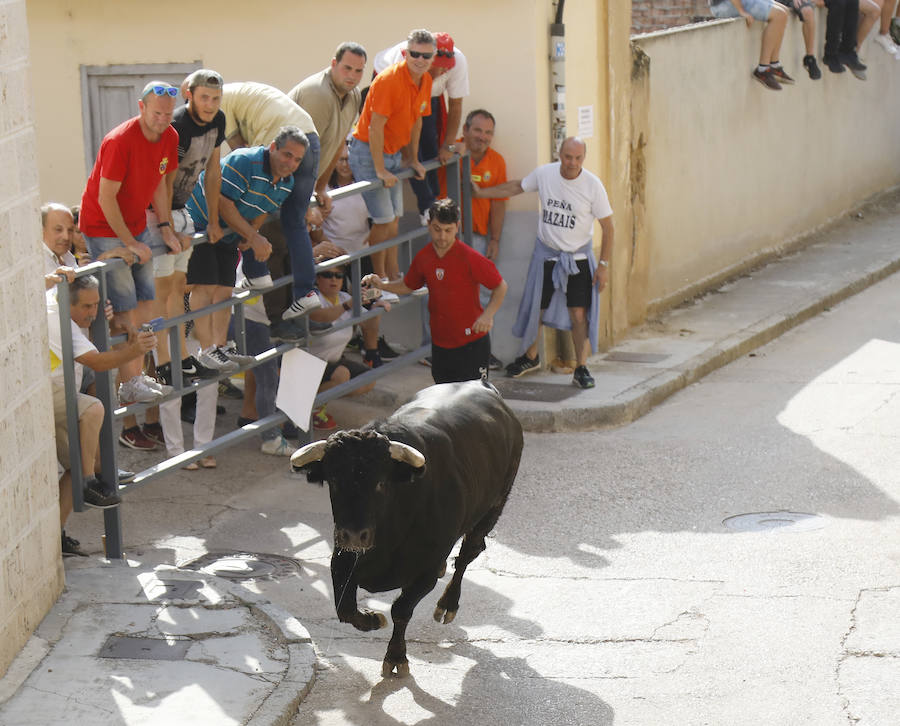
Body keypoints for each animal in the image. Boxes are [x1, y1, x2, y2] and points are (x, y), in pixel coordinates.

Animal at [292, 382, 524, 676]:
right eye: (333, 480)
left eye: (380, 482)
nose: (354, 535)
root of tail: (483, 384)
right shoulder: (342, 559)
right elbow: (345, 609)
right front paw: (372, 619)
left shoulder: (424, 572)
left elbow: (401, 610)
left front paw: (396, 656)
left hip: (493, 508)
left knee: (467, 554)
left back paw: (448, 604)